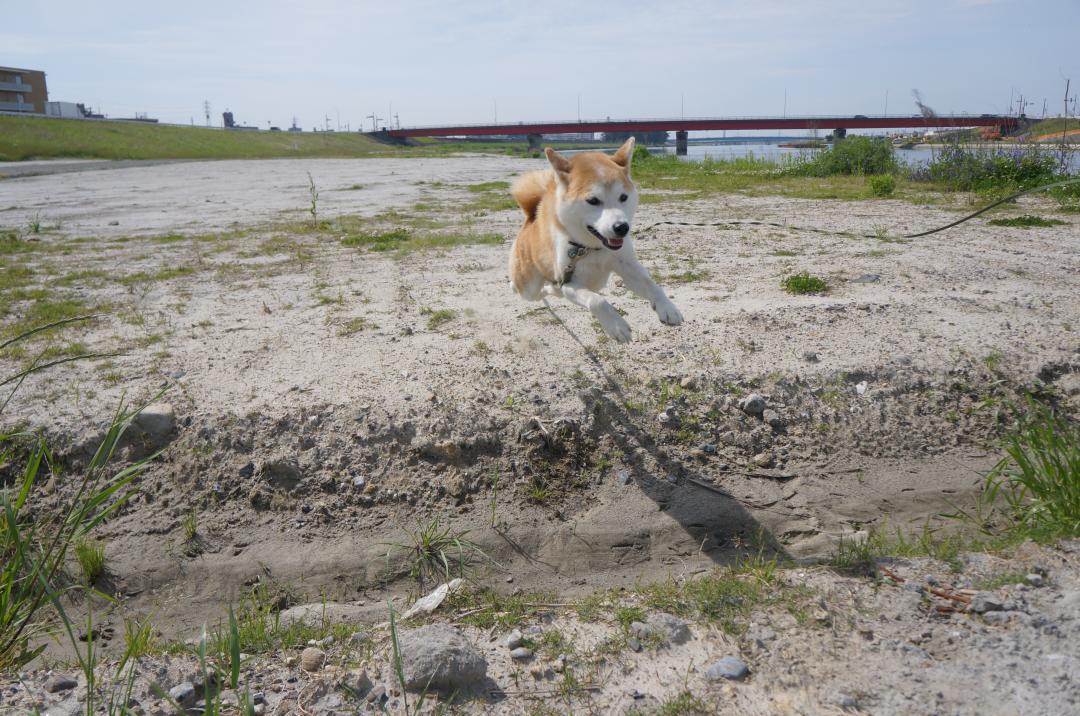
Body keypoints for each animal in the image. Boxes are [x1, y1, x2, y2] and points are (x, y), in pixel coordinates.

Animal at [507, 137, 682, 345]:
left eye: (623, 197)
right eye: (593, 200)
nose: (622, 228)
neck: (592, 249)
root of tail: (530, 218)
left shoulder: (627, 267)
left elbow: (650, 283)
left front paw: (667, 307)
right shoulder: (569, 283)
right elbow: (597, 301)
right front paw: (616, 325)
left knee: (553, 290)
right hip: (530, 287)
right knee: (531, 290)